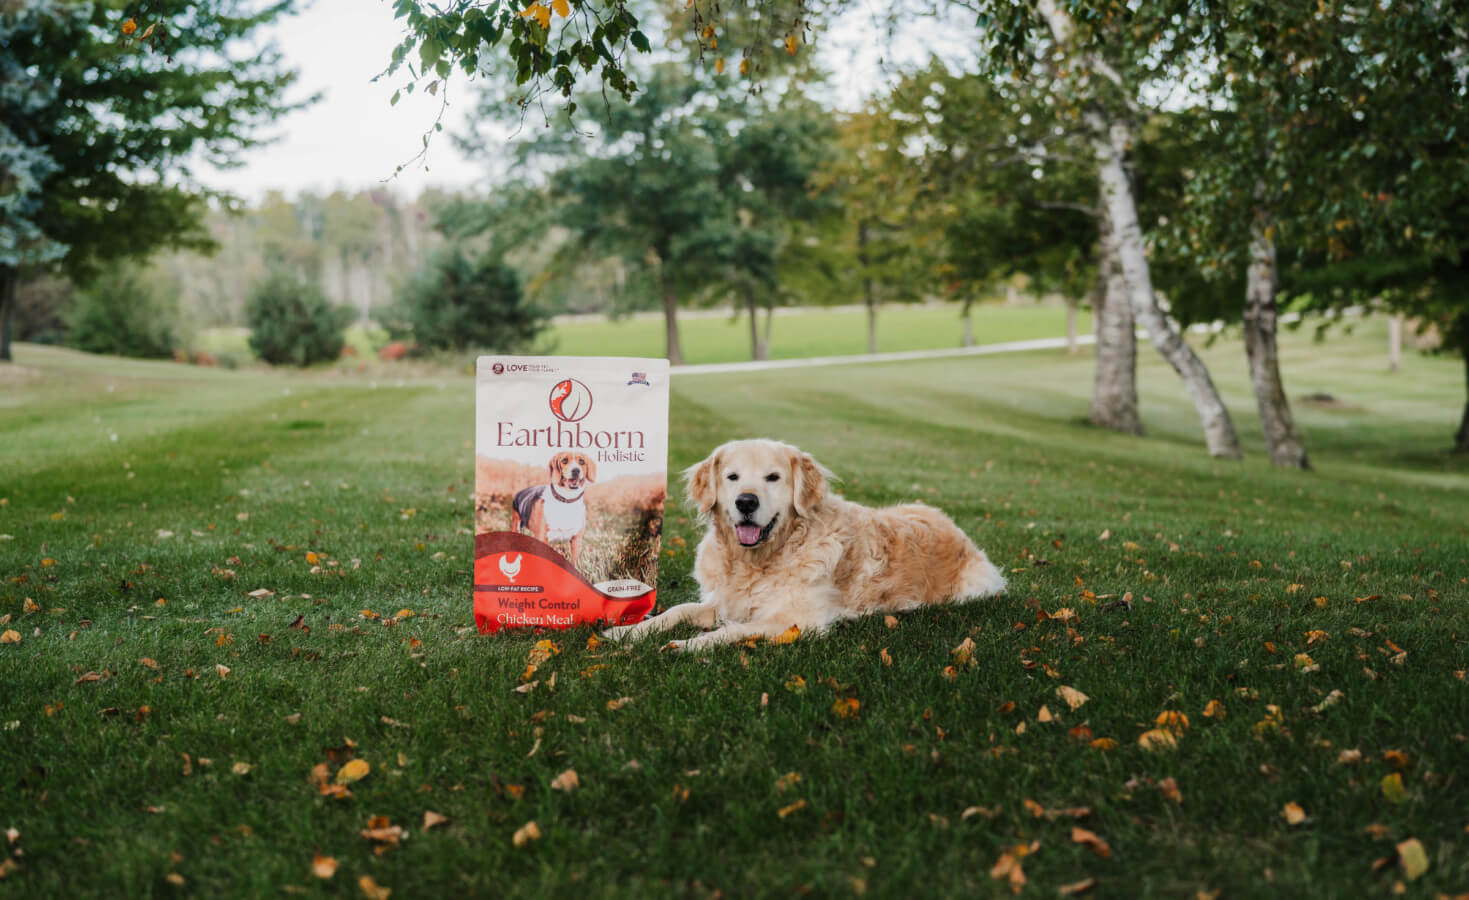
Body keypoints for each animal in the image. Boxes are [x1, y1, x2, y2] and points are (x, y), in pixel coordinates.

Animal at [602, 437, 1004, 648]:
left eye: (773, 477)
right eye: (732, 477)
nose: (745, 502)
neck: (761, 560)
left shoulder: (795, 620)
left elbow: (729, 632)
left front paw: (686, 645)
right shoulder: (726, 601)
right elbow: (677, 610)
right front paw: (627, 631)